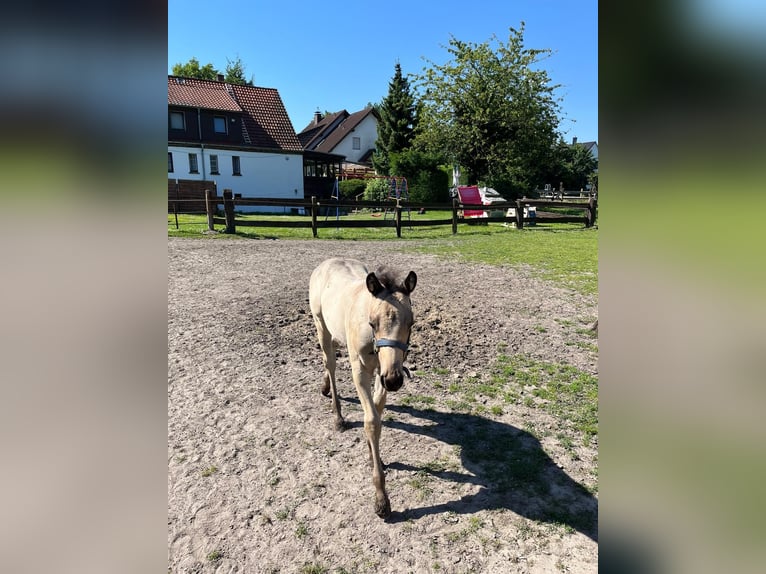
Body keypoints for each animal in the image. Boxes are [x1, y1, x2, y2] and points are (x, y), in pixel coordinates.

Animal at [309, 257, 417, 518]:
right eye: (372, 323)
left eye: (411, 323)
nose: (395, 381)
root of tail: (327, 262)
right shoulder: (361, 372)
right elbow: (371, 421)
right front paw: (381, 499)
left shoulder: (384, 369)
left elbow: (377, 410)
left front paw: (371, 454)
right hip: (320, 325)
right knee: (330, 363)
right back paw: (338, 416)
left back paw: (325, 388)